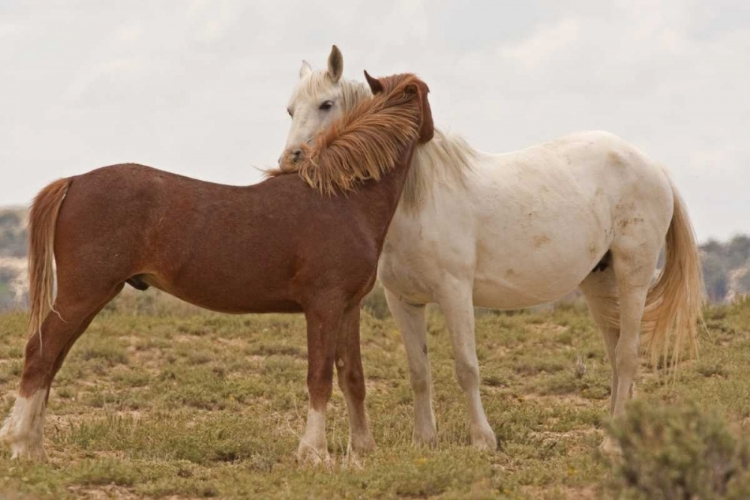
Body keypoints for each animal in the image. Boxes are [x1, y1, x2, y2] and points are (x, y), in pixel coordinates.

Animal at [0, 71, 434, 464]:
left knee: (53, 359)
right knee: (40, 352)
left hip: (88, 297)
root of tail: (73, 182)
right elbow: (320, 378)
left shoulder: (349, 307)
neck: (343, 199)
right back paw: (22, 445)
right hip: (83, 293)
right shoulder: (323, 307)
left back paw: (35, 447)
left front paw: (363, 449)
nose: (432, 134)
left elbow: (352, 377)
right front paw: (314, 453)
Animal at [282, 47, 704, 454]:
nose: (290, 160)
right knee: (616, 357)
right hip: (601, 282)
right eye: (290, 108)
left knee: (629, 356)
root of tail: (654, 167)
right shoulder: (403, 301)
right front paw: (425, 440)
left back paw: (612, 445)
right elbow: (419, 372)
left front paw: (483, 440)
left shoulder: (454, 293)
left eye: (326, 104)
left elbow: (467, 368)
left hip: (633, 277)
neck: (417, 199)